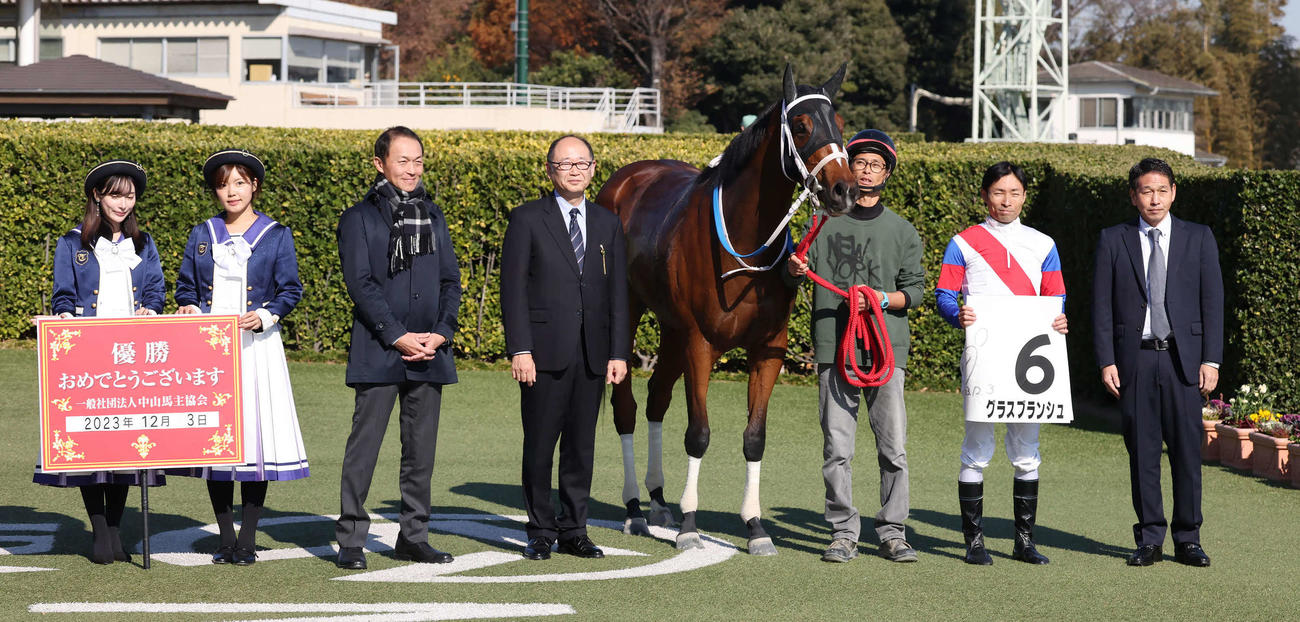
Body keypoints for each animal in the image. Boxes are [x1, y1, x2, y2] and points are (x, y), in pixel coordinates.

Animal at [594, 64, 858, 555]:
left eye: (841, 123)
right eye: (802, 126)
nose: (843, 190)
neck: (742, 239)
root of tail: (625, 178)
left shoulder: (768, 349)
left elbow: (754, 437)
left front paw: (755, 527)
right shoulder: (700, 343)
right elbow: (698, 434)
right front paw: (690, 525)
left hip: (671, 327)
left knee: (657, 398)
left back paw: (657, 499)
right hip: (633, 313)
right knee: (627, 406)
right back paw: (635, 508)